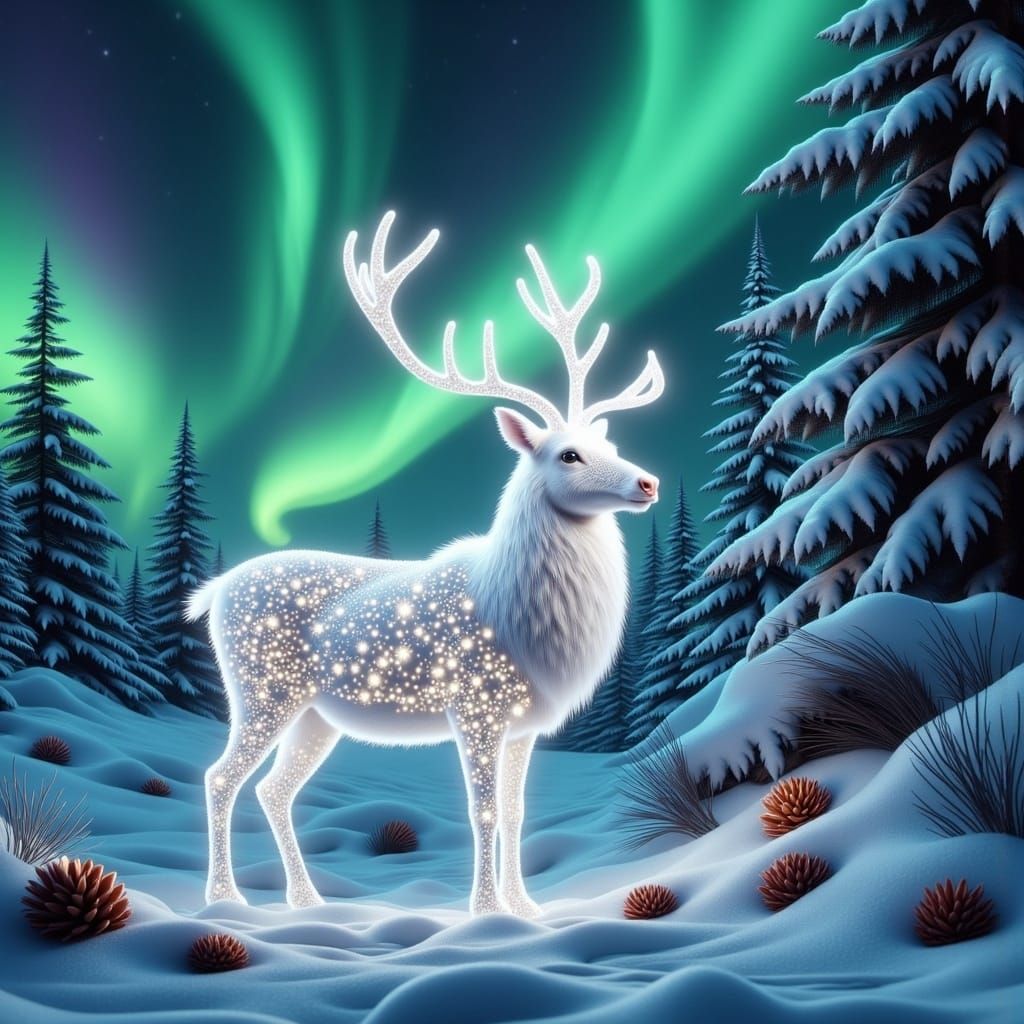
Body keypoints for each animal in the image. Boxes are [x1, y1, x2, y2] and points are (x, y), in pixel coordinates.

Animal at [189, 212, 664, 917]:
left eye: (609, 443)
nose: (648, 482)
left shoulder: (524, 725)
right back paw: (226, 901)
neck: (526, 623)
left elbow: (517, 812)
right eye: (568, 454)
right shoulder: (476, 705)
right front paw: (486, 913)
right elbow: (482, 813)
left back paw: (307, 901)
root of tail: (213, 591)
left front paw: (527, 910)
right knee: (220, 777)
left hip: (314, 715)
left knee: (275, 789)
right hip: (260, 687)